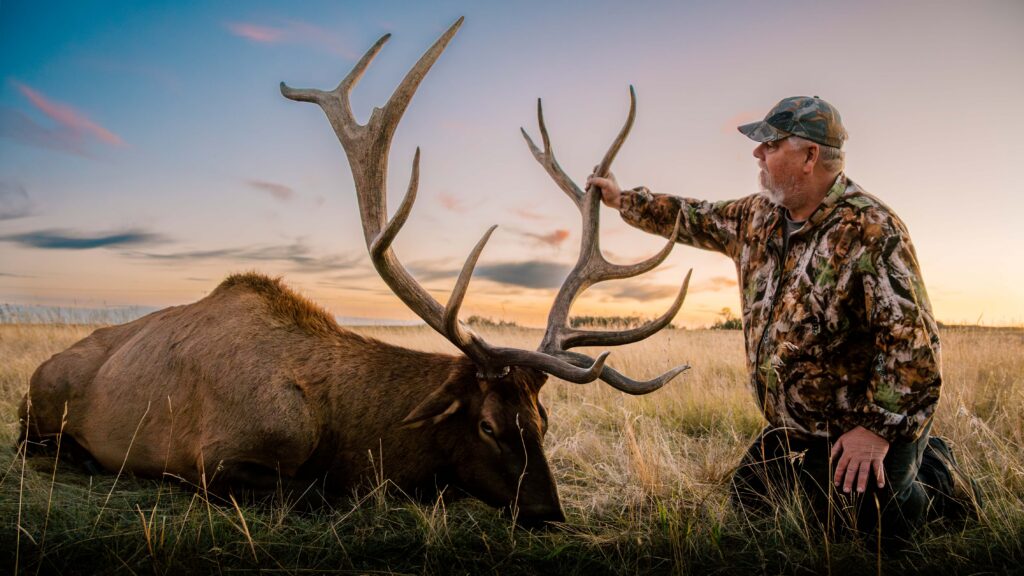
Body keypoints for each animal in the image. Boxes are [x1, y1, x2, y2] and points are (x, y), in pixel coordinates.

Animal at [19, 17, 691, 526]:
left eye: (543, 422)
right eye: (488, 425)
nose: (550, 513)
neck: (341, 428)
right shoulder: (220, 457)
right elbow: (316, 491)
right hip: (39, 406)